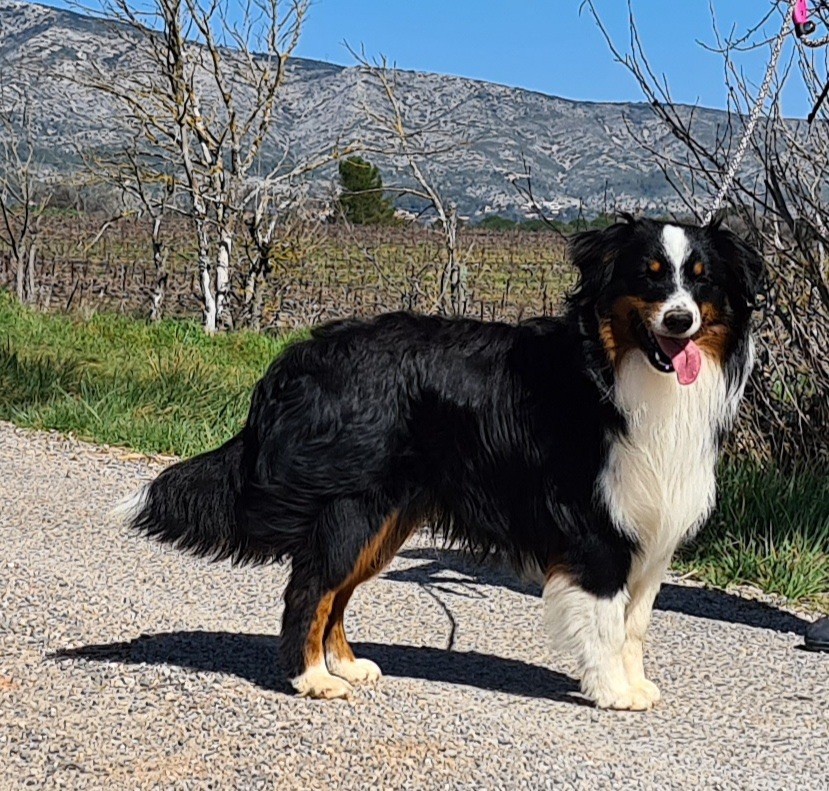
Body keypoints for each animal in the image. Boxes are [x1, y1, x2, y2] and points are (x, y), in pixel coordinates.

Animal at [118, 215, 764, 712]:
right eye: (647, 277)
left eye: (701, 282)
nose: (679, 321)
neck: (614, 372)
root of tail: (300, 355)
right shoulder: (595, 532)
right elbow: (605, 621)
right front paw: (611, 691)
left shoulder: (649, 532)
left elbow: (635, 624)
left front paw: (634, 684)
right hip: (353, 508)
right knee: (310, 589)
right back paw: (314, 679)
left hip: (385, 520)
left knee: (336, 593)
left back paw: (345, 665)